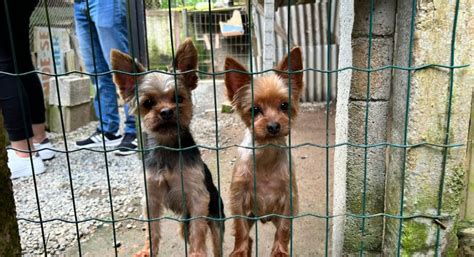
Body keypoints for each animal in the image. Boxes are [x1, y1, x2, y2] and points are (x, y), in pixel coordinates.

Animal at [111, 38, 224, 256]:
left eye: (178, 98)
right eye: (148, 102)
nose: (166, 112)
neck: (168, 147)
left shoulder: (198, 199)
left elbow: (198, 231)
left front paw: (198, 253)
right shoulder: (151, 198)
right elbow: (152, 230)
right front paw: (148, 250)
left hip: (215, 217)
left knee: (215, 242)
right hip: (183, 225)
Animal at [224, 46, 302, 256]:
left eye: (284, 105)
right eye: (254, 110)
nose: (273, 126)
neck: (266, 154)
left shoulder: (288, 198)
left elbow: (284, 229)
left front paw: (280, 251)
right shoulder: (238, 197)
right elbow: (240, 228)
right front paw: (240, 251)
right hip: (251, 214)